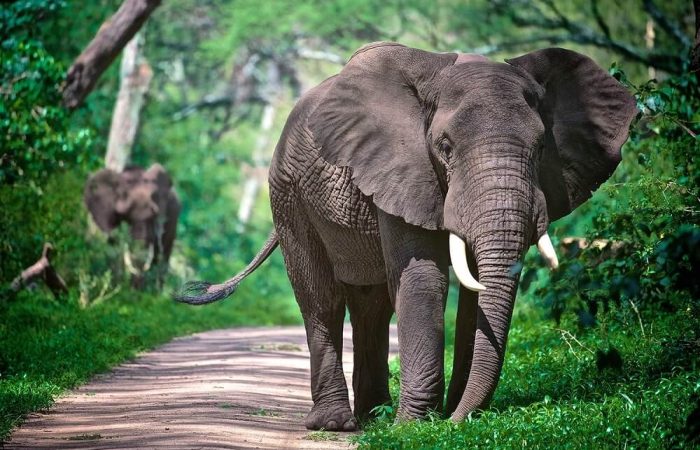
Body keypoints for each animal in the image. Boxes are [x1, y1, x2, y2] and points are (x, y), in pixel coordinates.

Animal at [176, 42, 637, 431]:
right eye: (445, 147)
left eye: (541, 147)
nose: (458, 421)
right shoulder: (401, 169)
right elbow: (423, 281)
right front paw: (416, 427)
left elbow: (470, 295)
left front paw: (437, 418)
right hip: (287, 192)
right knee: (321, 299)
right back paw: (337, 424)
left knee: (372, 304)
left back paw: (374, 416)